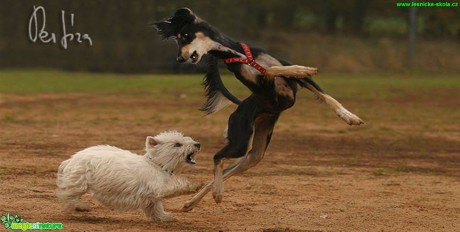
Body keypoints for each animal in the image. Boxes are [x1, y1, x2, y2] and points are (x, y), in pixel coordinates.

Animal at [56, 131, 200, 222]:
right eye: (177, 144)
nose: (198, 144)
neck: (156, 164)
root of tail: (70, 160)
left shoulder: (151, 197)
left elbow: (156, 208)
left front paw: (165, 217)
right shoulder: (157, 188)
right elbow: (176, 186)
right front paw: (194, 186)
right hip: (79, 182)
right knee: (68, 195)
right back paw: (81, 206)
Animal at [155, 7, 362, 212]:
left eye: (185, 35)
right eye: (177, 39)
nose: (180, 58)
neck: (242, 55)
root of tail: (239, 107)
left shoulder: (291, 81)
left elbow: (325, 95)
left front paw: (349, 117)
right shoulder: (265, 89)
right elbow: (271, 70)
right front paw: (300, 68)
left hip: (254, 155)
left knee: (228, 168)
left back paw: (194, 201)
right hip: (240, 141)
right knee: (217, 157)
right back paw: (217, 193)